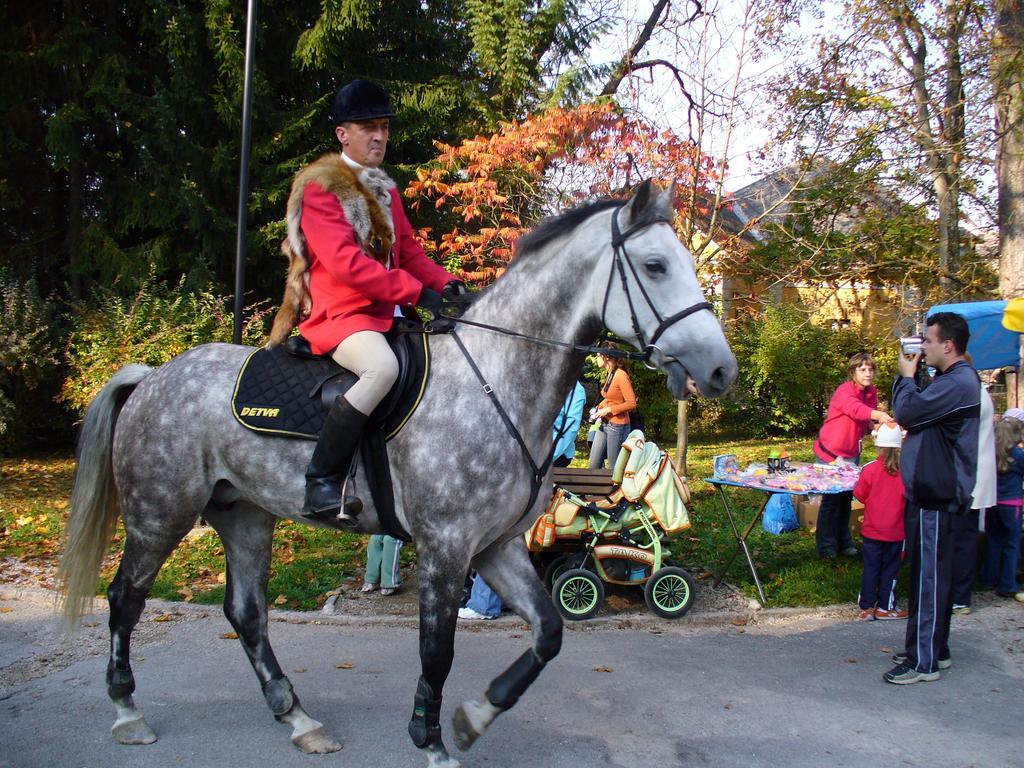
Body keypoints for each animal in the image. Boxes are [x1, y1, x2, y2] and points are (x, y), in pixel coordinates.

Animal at [58, 182, 737, 768]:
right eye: (655, 265)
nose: (722, 370)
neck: (494, 377)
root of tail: (152, 375)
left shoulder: (494, 547)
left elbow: (548, 633)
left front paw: (474, 716)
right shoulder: (446, 548)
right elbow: (437, 649)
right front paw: (430, 739)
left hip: (245, 516)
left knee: (246, 612)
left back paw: (298, 719)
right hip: (159, 516)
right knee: (125, 598)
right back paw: (127, 710)